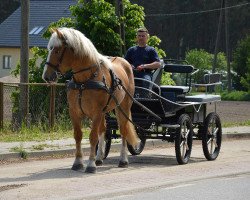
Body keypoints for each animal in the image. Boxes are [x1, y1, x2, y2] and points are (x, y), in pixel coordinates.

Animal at [41, 27, 138, 173]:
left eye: (57, 51)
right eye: (49, 49)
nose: (46, 76)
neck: (84, 80)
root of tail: (125, 63)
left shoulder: (96, 113)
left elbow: (92, 137)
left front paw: (90, 165)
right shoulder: (74, 112)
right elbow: (78, 135)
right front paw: (78, 162)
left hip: (123, 107)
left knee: (123, 131)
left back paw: (123, 160)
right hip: (105, 111)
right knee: (103, 130)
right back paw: (99, 158)